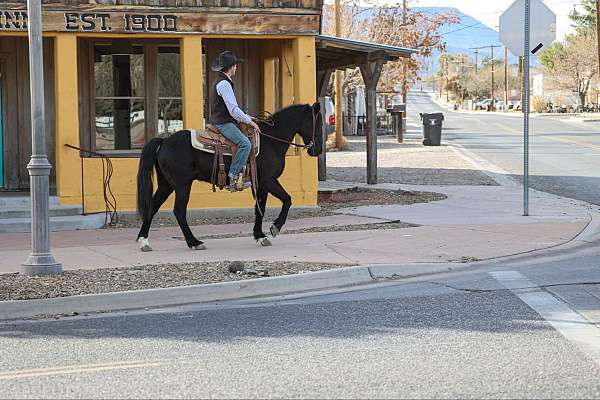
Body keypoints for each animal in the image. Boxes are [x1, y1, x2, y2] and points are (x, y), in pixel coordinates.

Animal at [136, 102, 324, 250]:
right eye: (317, 123)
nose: (318, 150)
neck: (271, 141)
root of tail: (164, 141)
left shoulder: (260, 185)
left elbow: (260, 209)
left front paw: (260, 236)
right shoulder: (268, 181)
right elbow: (287, 200)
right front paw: (275, 228)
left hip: (166, 185)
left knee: (152, 207)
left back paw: (144, 241)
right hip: (182, 185)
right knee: (179, 211)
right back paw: (194, 242)